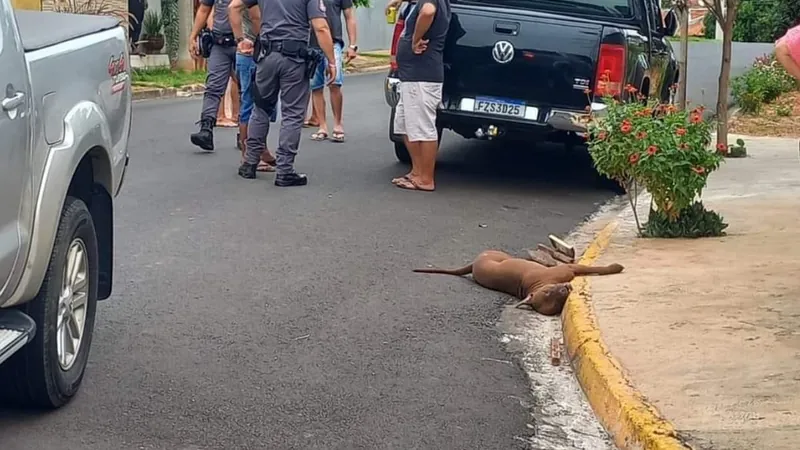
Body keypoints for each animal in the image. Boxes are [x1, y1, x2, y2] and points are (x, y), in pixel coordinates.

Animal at [412, 250, 624, 316]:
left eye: (548, 293)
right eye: (551, 298)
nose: (565, 289)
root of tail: (474, 264)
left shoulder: (570, 268)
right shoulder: (569, 269)